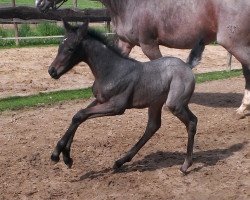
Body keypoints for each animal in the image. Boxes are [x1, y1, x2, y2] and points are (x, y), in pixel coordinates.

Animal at [35, 0, 250, 117]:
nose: (39, 5)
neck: (130, 4)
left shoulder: (149, 44)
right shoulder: (125, 42)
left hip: (233, 43)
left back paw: (243, 108)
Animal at [47, 21, 204, 173]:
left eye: (71, 48)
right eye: (60, 46)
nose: (52, 71)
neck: (112, 70)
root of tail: (187, 66)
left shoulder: (116, 107)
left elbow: (80, 115)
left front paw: (57, 154)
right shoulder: (100, 100)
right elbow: (79, 116)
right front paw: (66, 157)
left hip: (175, 104)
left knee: (191, 122)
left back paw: (185, 165)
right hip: (156, 103)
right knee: (153, 126)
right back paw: (120, 162)